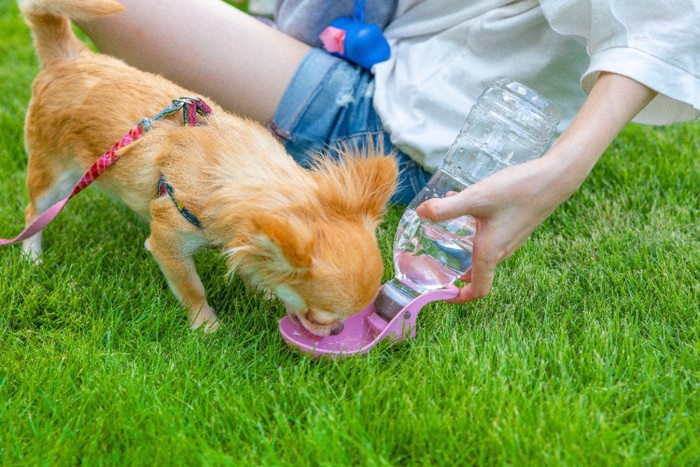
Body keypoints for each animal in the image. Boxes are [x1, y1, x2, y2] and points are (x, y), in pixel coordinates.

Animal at [17, 0, 400, 336]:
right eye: (317, 317)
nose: (334, 331)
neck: (229, 170)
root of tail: (66, 56)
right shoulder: (168, 244)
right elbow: (192, 288)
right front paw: (206, 326)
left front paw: (259, 287)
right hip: (52, 174)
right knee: (34, 212)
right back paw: (30, 256)